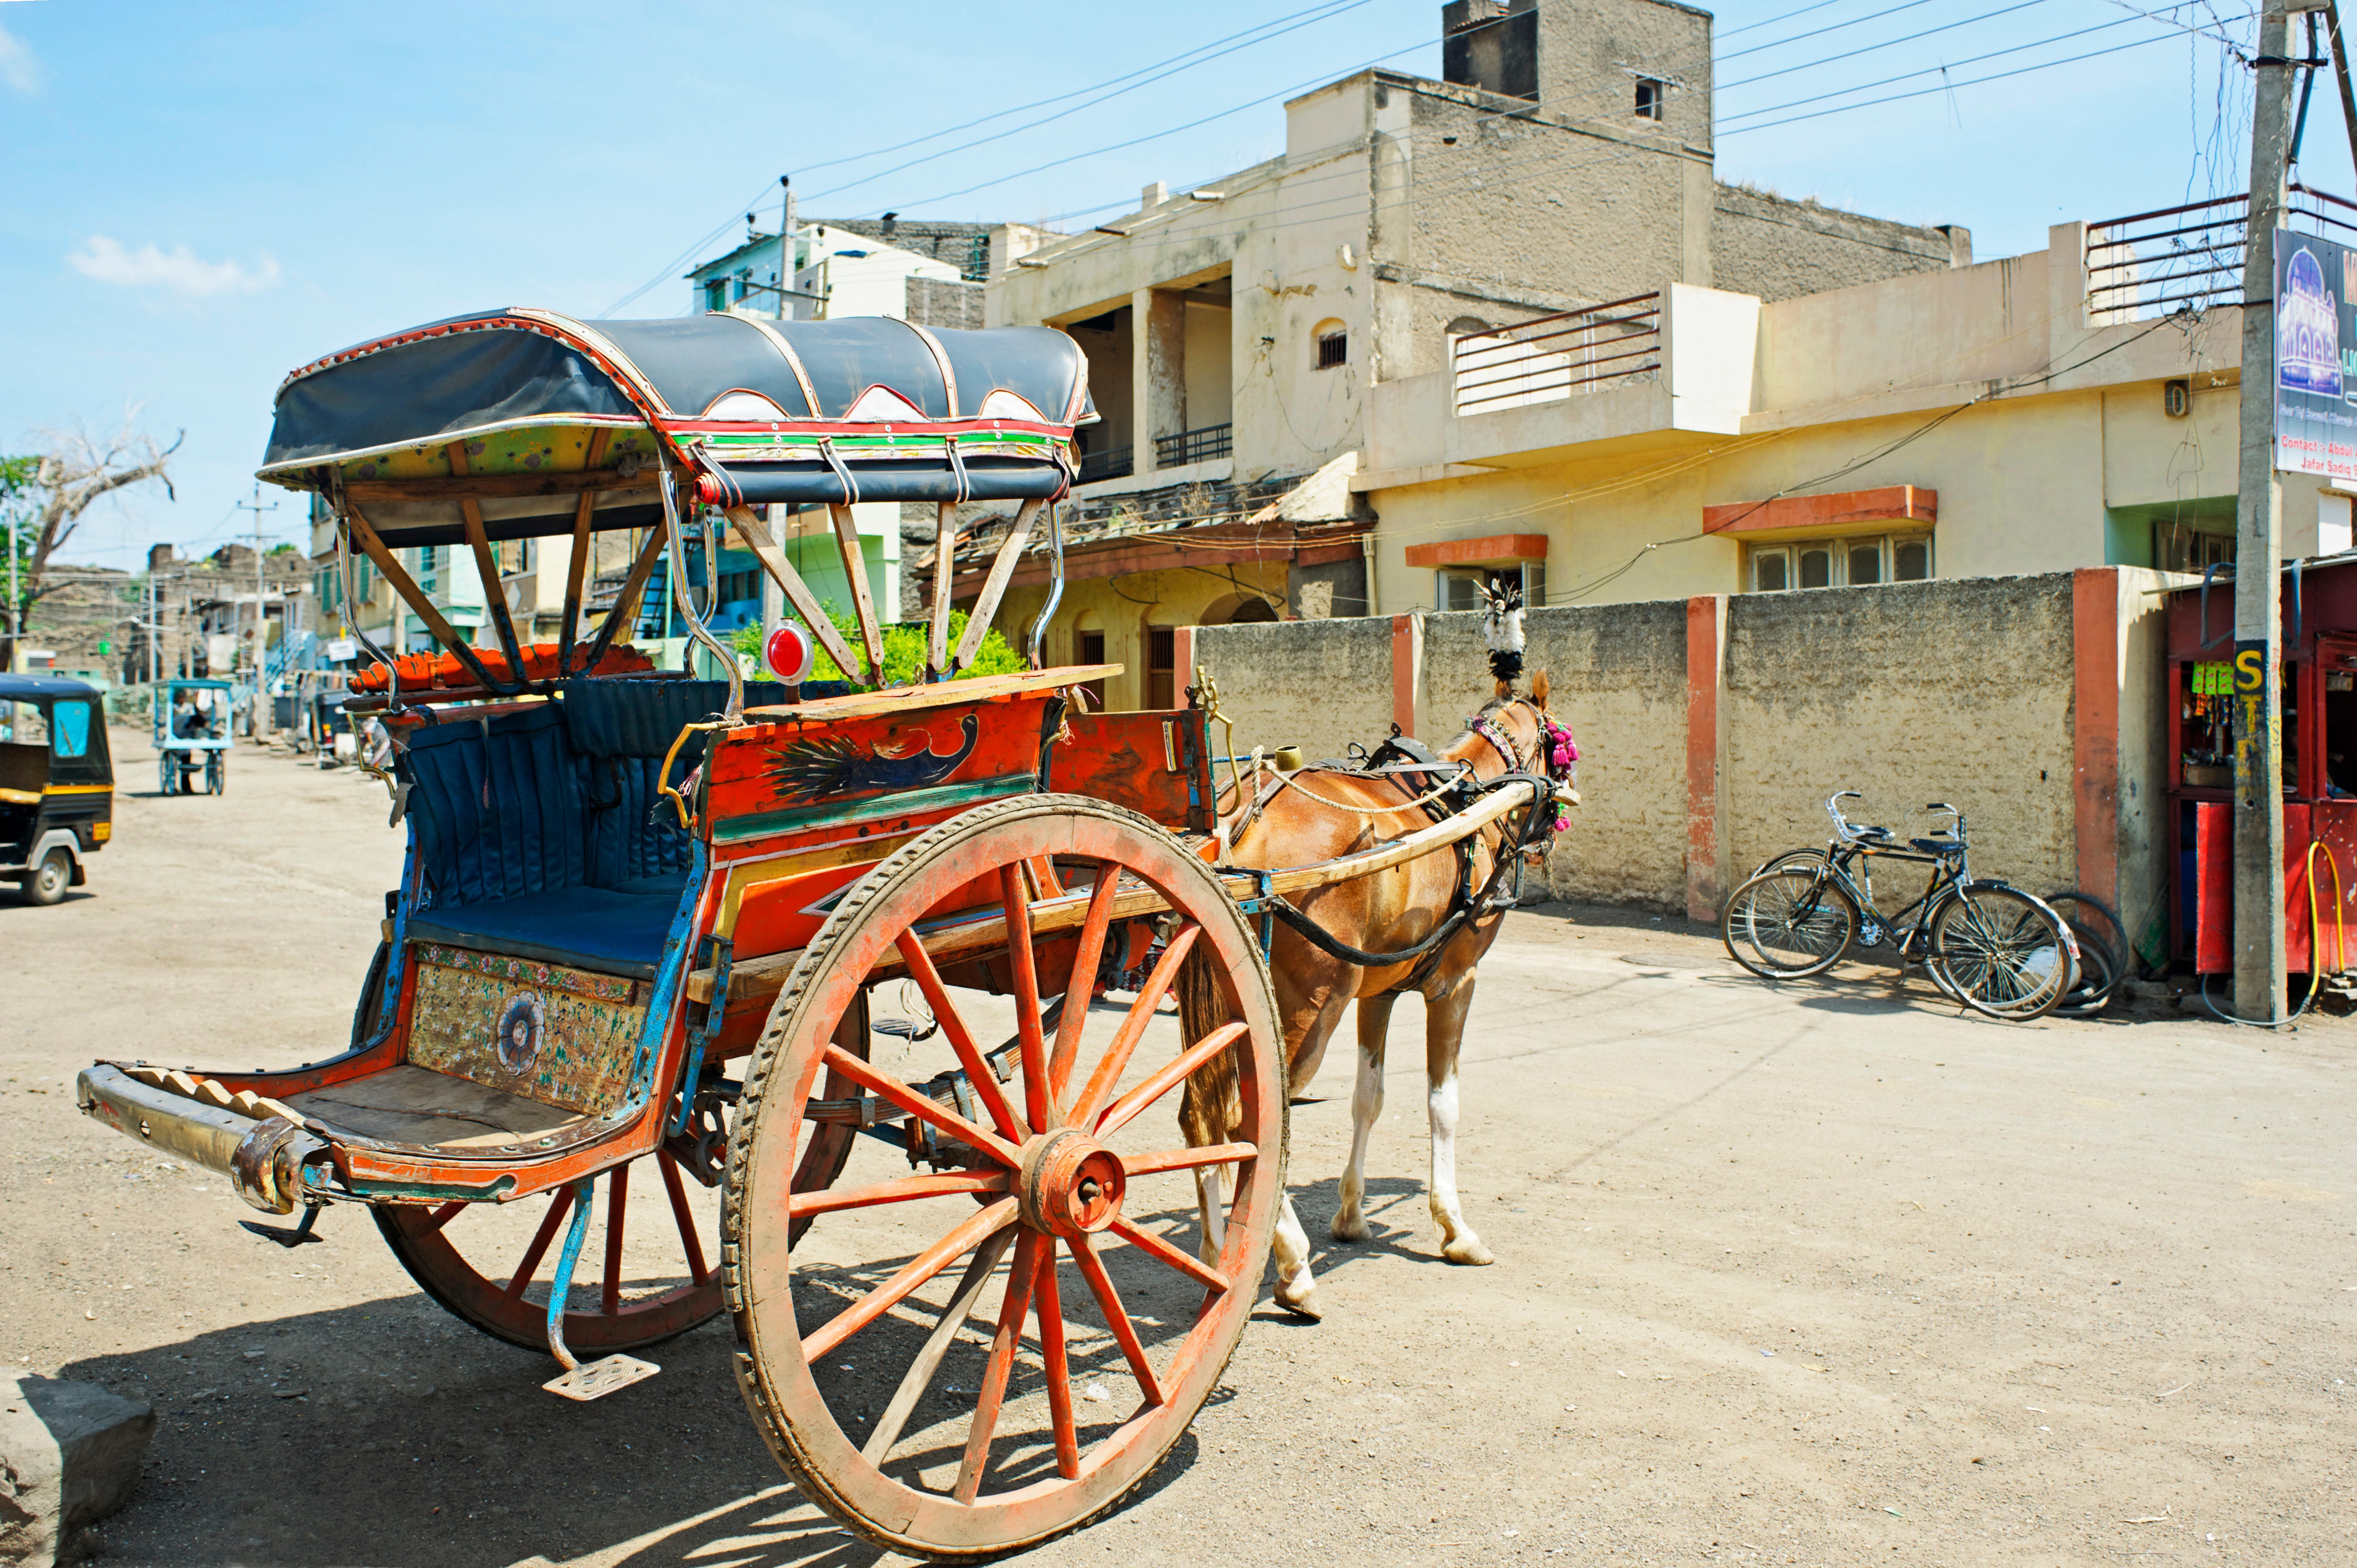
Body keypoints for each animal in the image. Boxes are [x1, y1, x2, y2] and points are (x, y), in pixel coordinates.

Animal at [1178, 622, 1584, 1320]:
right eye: (1561, 748)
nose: (1556, 826)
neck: (1467, 801)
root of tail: (1236, 822)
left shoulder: (1381, 992)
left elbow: (1369, 1097)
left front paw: (1350, 1213)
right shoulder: (1453, 985)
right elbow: (1442, 1103)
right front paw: (1455, 1228)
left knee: (1201, 1117)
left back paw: (1211, 1256)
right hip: (1308, 1007)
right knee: (1248, 1122)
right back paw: (1293, 1268)